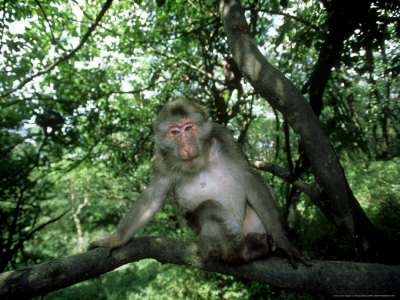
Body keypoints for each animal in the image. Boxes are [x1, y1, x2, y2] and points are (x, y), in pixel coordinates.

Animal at [88, 98, 310, 268]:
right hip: (206, 245)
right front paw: (116, 239)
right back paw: (244, 253)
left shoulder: (224, 137)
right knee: (210, 209)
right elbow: (154, 196)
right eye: (174, 132)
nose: (186, 147)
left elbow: (248, 177)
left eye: (188, 128)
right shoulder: (161, 159)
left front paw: (284, 242)